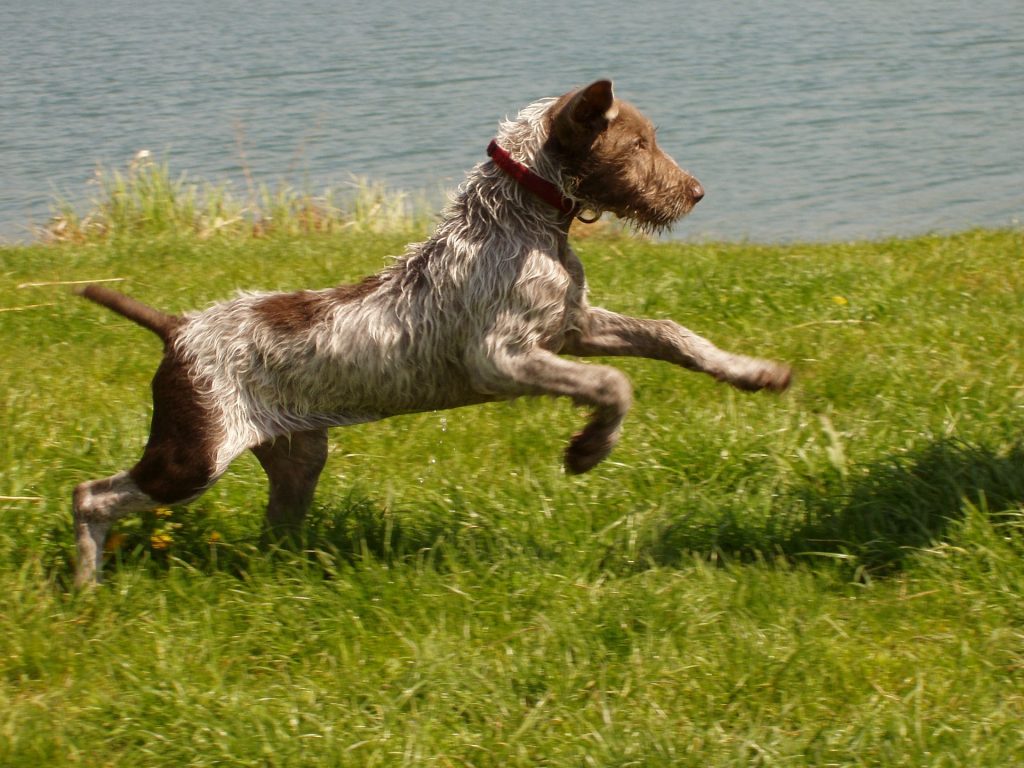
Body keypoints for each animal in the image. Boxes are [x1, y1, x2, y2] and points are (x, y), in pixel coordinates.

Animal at [74, 81, 790, 585]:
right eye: (638, 146)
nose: (696, 193)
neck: (523, 220)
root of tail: (177, 327)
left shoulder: (573, 327)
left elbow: (671, 334)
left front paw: (753, 372)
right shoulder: (500, 359)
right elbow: (614, 384)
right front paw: (589, 449)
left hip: (298, 456)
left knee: (272, 527)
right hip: (192, 456)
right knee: (90, 496)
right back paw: (86, 586)